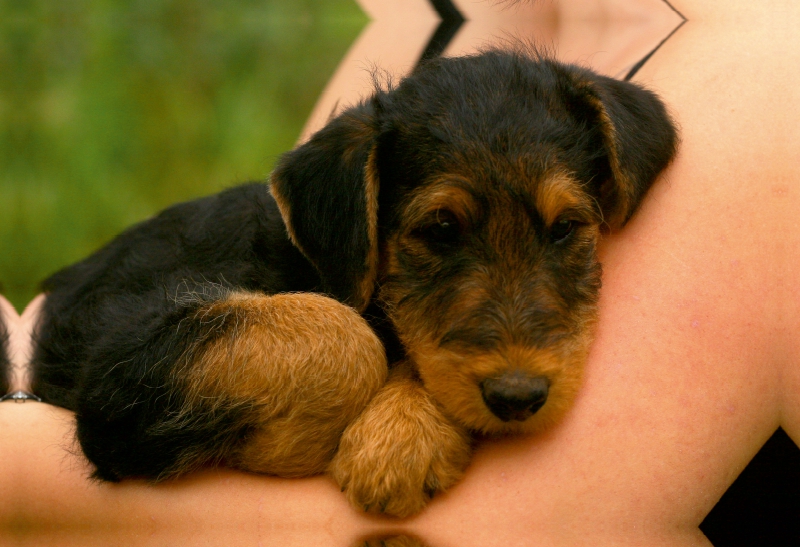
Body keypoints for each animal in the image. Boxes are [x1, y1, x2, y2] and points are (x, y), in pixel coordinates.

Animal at [34, 49, 680, 516]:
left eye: (566, 227)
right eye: (440, 229)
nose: (517, 396)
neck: (310, 262)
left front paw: (398, 440)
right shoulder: (120, 360)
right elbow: (344, 332)